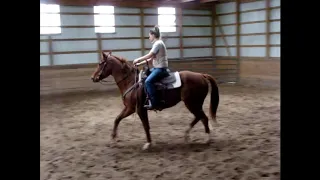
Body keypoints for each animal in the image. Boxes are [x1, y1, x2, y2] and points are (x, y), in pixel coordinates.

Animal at [90, 51, 220, 150]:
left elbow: (145, 126)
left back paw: (206, 139)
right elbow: (117, 119)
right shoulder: (130, 108)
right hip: (195, 104)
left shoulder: (137, 109)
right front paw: (113, 140)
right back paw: (187, 135)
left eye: (100, 63)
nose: (93, 77)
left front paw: (148, 144)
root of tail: (201, 75)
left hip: (192, 103)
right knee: (199, 117)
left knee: (203, 117)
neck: (131, 82)